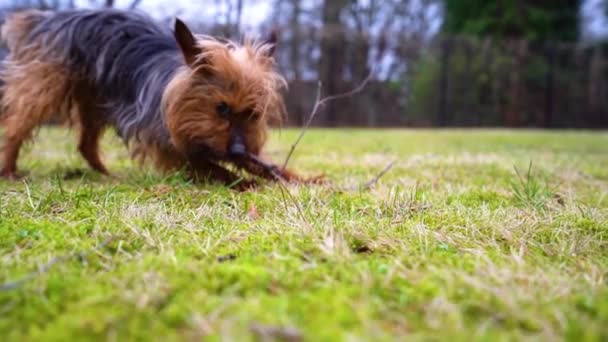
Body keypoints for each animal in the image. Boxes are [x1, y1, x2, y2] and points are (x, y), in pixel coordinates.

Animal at [0, 9, 324, 190]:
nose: (237, 150)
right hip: (44, 86)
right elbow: (209, 167)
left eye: (253, 114)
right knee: (17, 126)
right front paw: (243, 182)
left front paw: (303, 178)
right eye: (221, 108)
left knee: (86, 143)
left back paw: (106, 174)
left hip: (95, 99)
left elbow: (266, 165)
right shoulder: (167, 147)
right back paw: (9, 170)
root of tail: (47, 18)